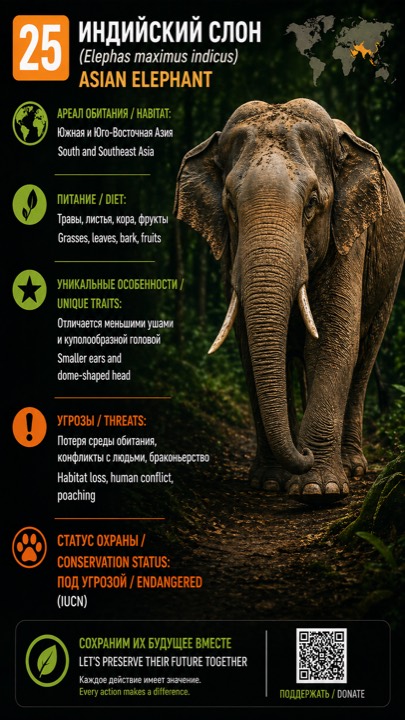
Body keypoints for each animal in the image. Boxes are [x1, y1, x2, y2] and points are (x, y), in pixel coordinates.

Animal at [174, 98, 405, 505]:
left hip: (390, 275)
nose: (305, 452)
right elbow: (251, 349)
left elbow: (332, 343)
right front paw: (269, 483)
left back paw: (352, 466)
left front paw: (319, 490)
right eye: (229, 204)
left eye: (312, 202)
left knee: (364, 357)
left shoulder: (350, 237)